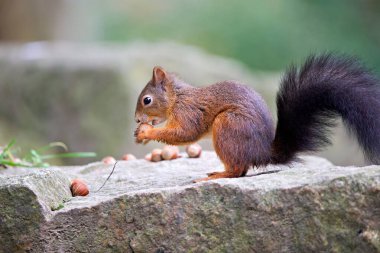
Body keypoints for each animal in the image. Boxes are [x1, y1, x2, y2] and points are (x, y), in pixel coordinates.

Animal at [134, 53, 380, 182]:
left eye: (147, 100)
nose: (136, 119)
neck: (178, 98)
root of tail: (262, 152)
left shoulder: (189, 112)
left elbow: (185, 133)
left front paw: (147, 132)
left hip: (227, 125)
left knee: (237, 171)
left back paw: (216, 175)